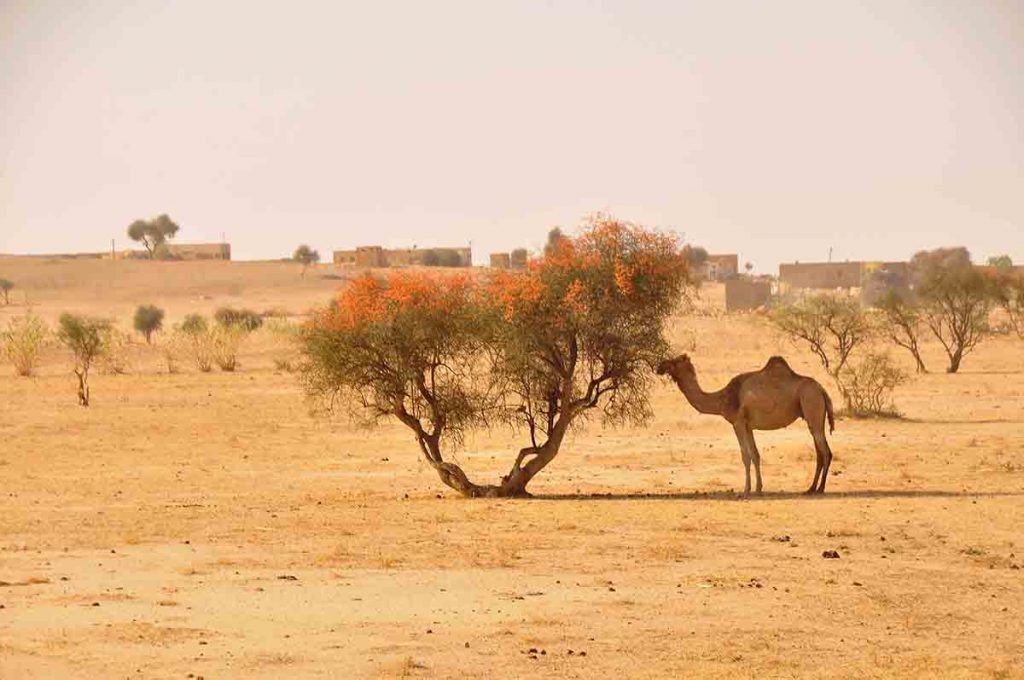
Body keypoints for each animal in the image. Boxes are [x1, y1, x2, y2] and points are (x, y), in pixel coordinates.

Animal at [656, 354, 836, 495]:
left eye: (675, 361)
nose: (660, 366)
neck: (723, 399)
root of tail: (822, 390)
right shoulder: (748, 426)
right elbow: (756, 455)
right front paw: (758, 488)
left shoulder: (738, 423)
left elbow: (745, 456)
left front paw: (746, 490)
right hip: (814, 415)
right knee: (820, 452)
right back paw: (811, 488)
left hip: (811, 402)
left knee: (826, 451)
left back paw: (820, 489)